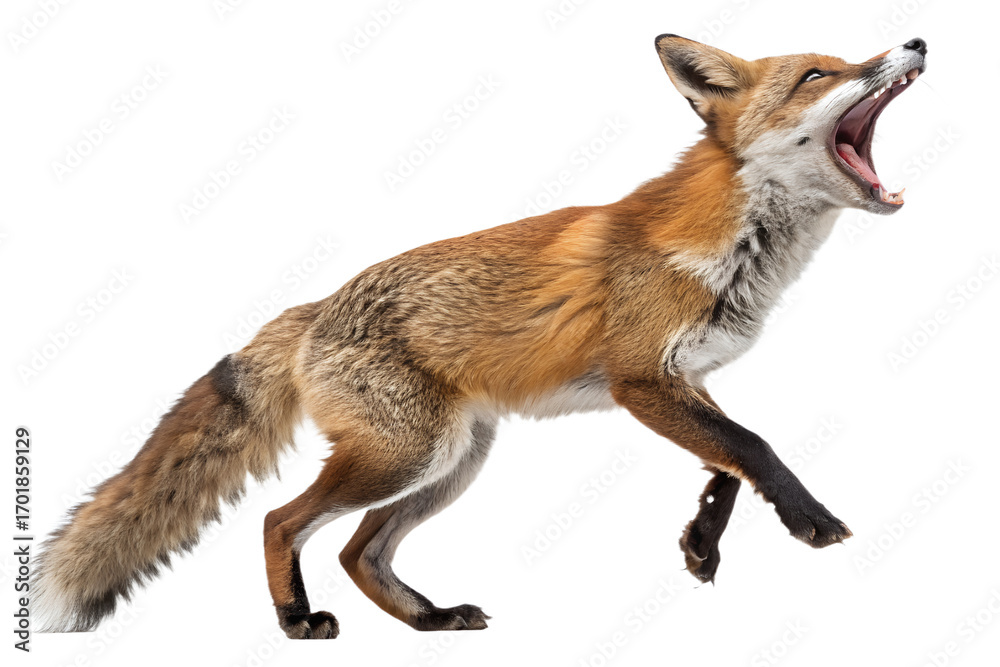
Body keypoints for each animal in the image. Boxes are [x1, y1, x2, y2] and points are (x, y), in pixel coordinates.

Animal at [34, 34, 928, 639]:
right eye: (819, 74)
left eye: (842, 60)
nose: (914, 41)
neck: (735, 246)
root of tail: (314, 307)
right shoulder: (640, 379)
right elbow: (756, 446)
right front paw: (809, 520)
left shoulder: (684, 380)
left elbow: (728, 462)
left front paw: (702, 542)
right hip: (406, 455)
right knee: (282, 521)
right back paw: (296, 619)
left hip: (453, 462)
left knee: (358, 550)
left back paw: (428, 620)